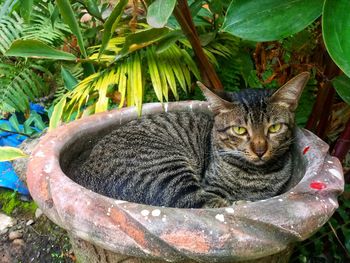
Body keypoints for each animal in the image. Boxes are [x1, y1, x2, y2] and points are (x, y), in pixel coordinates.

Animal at [74, 71, 308, 208]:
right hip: (166, 170)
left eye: (274, 128)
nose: (260, 150)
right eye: (240, 130)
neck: (255, 175)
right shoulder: (212, 187)